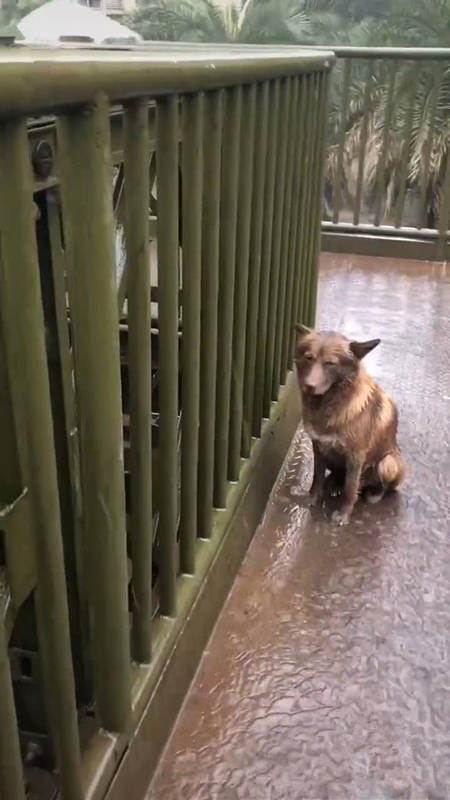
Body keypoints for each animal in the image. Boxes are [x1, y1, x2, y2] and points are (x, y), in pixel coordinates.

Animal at [296, 324, 404, 524]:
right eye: (308, 358)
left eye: (330, 363)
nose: (309, 386)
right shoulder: (319, 447)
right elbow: (317, 478)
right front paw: (312, 499)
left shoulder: (355, 456)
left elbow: (350, 488)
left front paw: (343, 515)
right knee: (337, 476)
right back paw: (333, 485)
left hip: (387, 463)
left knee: (382, 486)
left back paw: (374, 495)